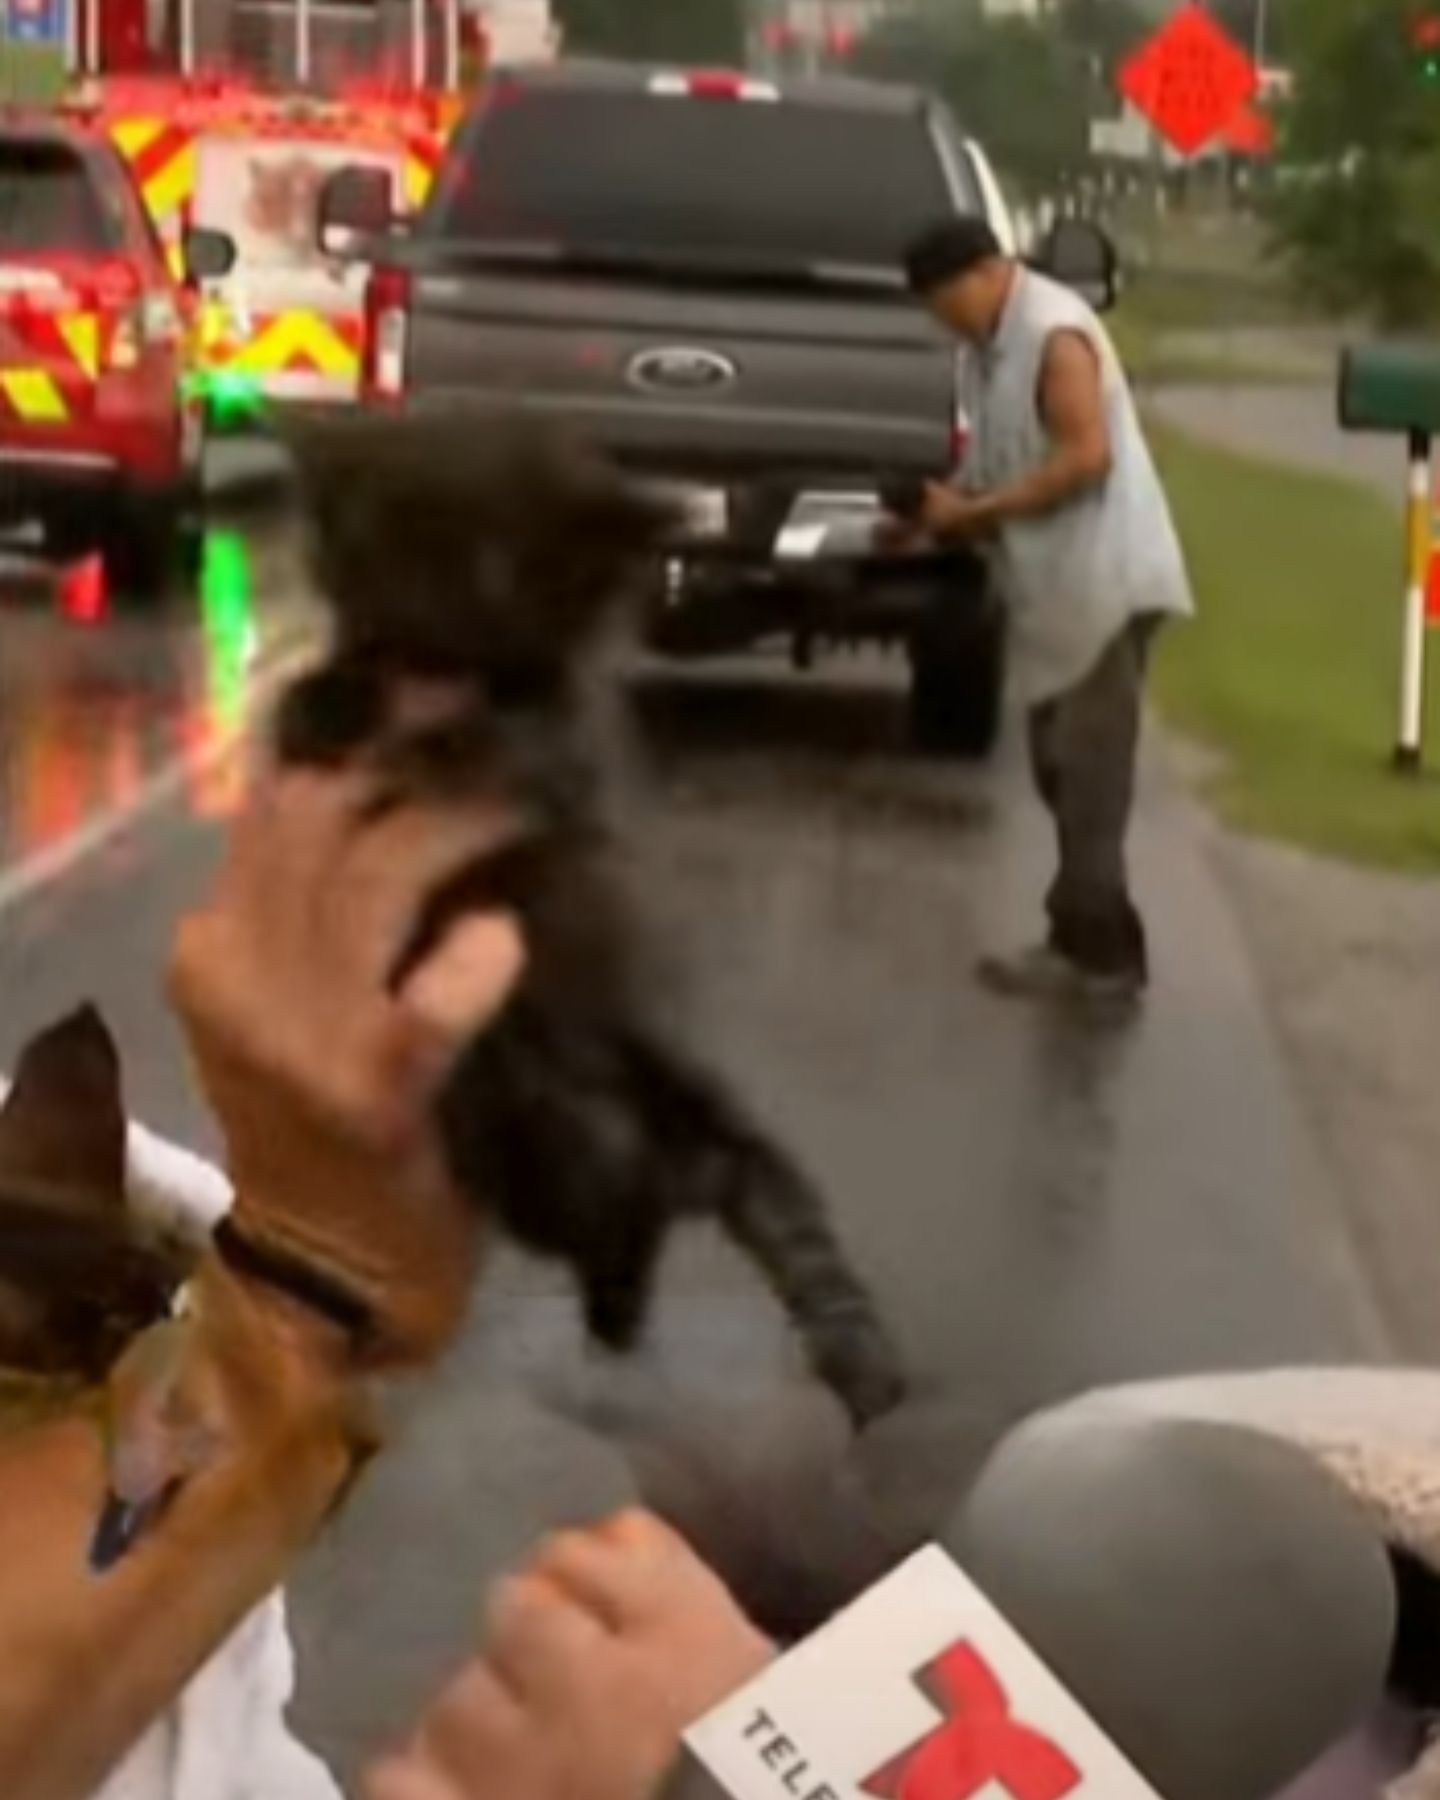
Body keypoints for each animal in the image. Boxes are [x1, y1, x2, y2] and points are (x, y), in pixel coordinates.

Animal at [271, 414, 907, 1425]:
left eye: (495, 561)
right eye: (373, 538)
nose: (424, 614)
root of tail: (694, 1138)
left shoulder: (569, 758)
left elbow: (526, 736)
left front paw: (445, 736)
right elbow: (318, 701)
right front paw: (327, 701)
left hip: (581, 1108)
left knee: (638, 1203)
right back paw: (617, 1306)